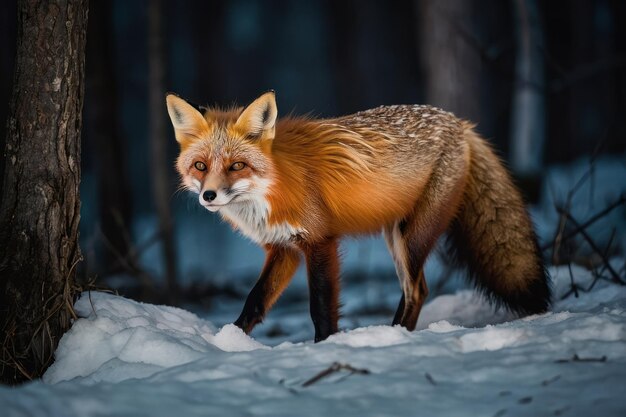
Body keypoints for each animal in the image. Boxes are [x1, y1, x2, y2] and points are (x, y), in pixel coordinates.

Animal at [165, 91, 544, 342]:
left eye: (237, 166)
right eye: (200, 166)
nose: (209, 196)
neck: (273, 185)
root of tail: (459, 123)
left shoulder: (320, 241)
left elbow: (321, 307)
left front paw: (325, 347)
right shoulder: (283, 248)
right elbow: (255, 302)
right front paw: (230, 342)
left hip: (409, 238)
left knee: (417, 290)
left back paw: (393, 336)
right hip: (396, 236)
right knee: (417, 289)